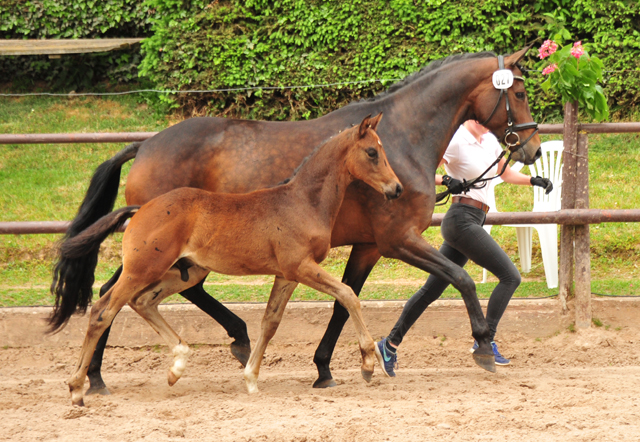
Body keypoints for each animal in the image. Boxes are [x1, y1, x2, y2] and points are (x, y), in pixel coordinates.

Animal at [66, 114, 404, 404]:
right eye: (372, 152)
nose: (396, 188)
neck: (302, 202)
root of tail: (139, 209)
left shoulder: (286, 275)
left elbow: (270, 322)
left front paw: (251, 379)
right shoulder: (301, 266)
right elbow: (348, 295)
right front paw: (368, 362)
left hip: (184, 272)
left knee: (142, 301)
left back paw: (177, 366)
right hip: (142, 269)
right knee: (102, 310)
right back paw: (77, 388)